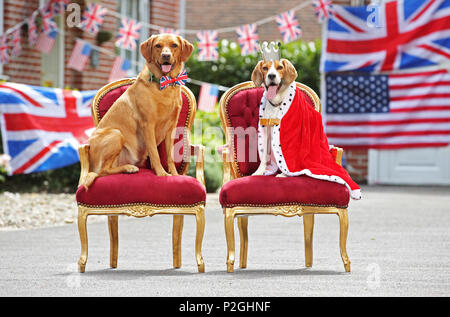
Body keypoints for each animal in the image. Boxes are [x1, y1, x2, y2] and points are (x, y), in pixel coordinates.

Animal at [82, 33, 193, 189]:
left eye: (174, 45)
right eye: (158, 46)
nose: (166, 55)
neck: (164, 84)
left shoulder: (171, 127)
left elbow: (170, 156)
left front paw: (175, 174)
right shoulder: (148, 124)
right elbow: (155, 154)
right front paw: (162, 174)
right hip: (116, 134)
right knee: (102, 171)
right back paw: (129, 168)